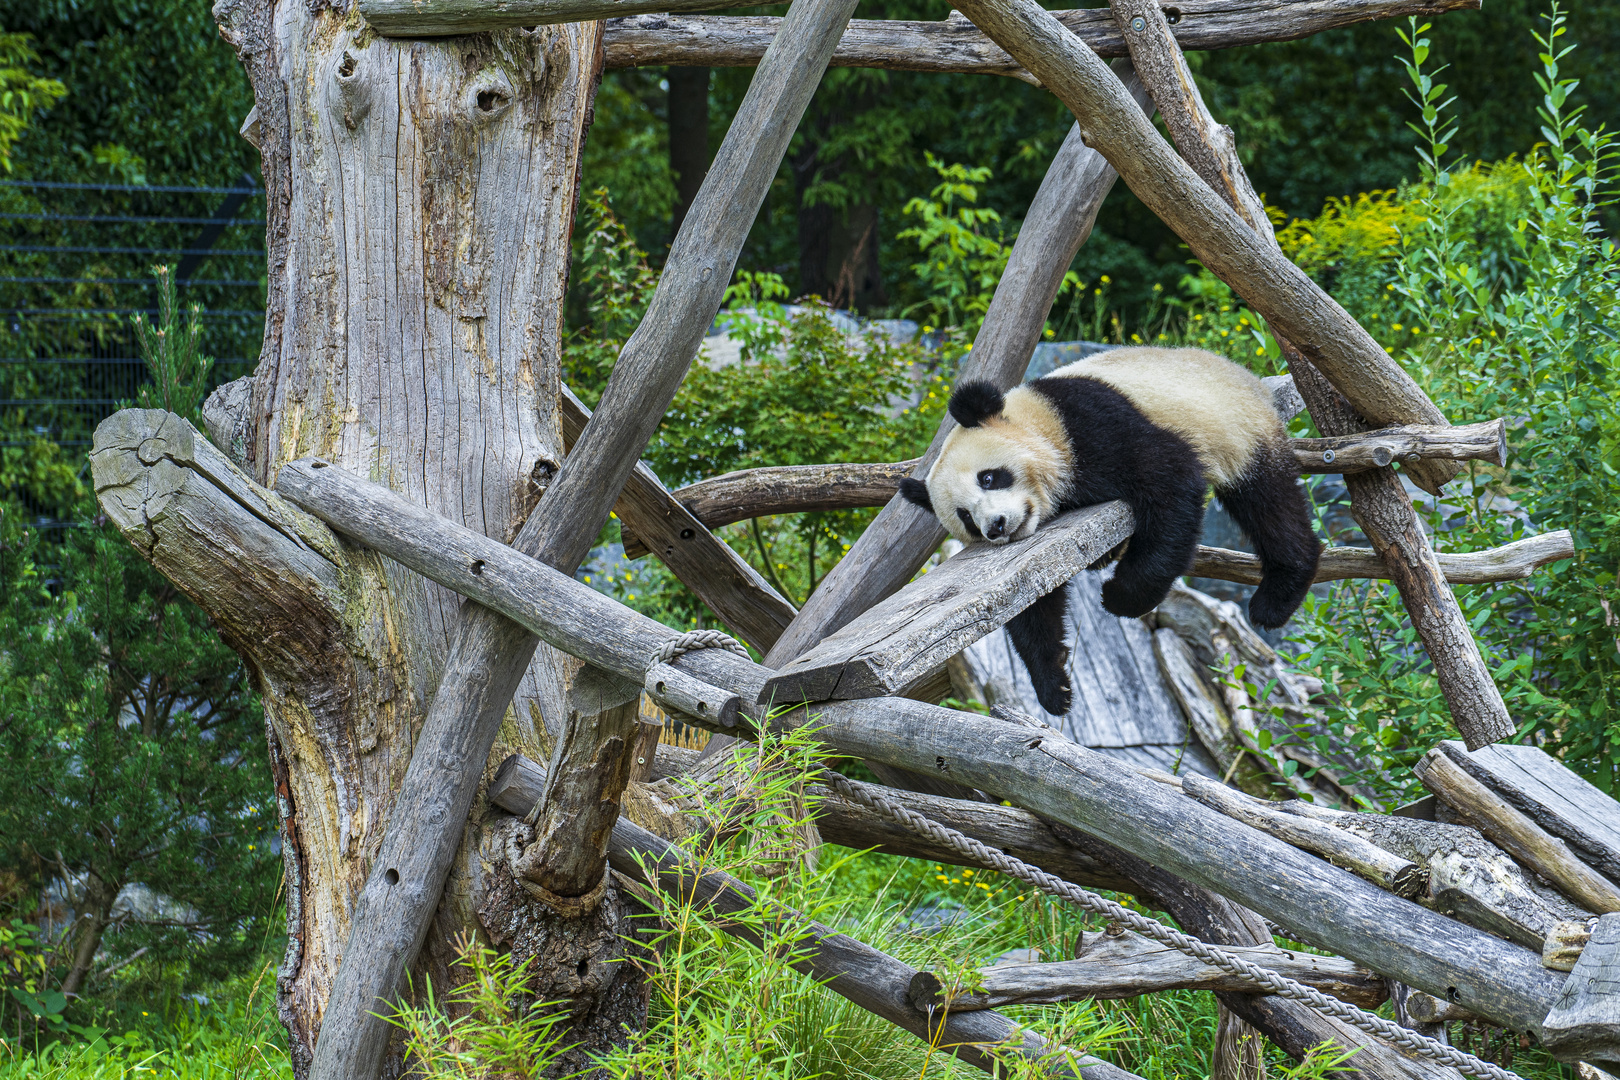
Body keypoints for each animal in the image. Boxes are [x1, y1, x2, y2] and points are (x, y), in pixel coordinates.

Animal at [900, 346, 1315, 718]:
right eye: (966, 518)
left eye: (988, 478)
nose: (996, 527)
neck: (1037, 421)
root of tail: (1243, 374)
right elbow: (1033, 601)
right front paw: (1055, 688)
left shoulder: (1093, 424)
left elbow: (1169, 481)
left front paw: (1121, 598)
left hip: (1238, 427)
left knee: (1268, 504)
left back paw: (1277, 596)